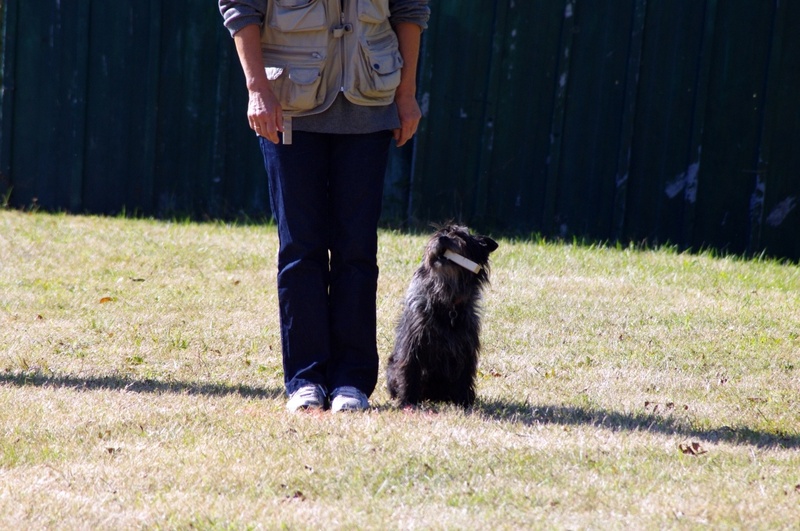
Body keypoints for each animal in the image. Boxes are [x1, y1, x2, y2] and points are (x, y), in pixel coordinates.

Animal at [386, 223, 496, 408]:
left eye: (461, 236)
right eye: (439, 233)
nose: (442, 238)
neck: (446, 300)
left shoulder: (466, 347)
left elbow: (464, 375)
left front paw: (463, 402)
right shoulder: (413, 343)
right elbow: (409, 369)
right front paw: (408, 401)